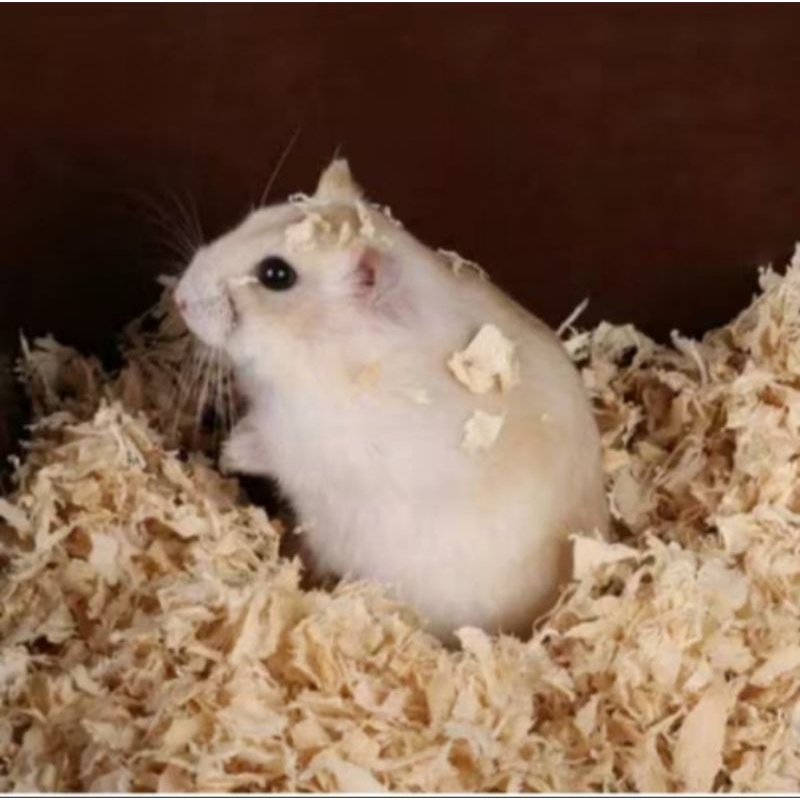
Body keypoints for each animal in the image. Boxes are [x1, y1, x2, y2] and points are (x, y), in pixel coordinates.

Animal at [175, 160, 608, 640]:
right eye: (250, 219)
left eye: (276, 275)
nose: (178, 298)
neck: (321, 354)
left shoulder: (313, 442)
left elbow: (270, 448)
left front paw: (230, 451)